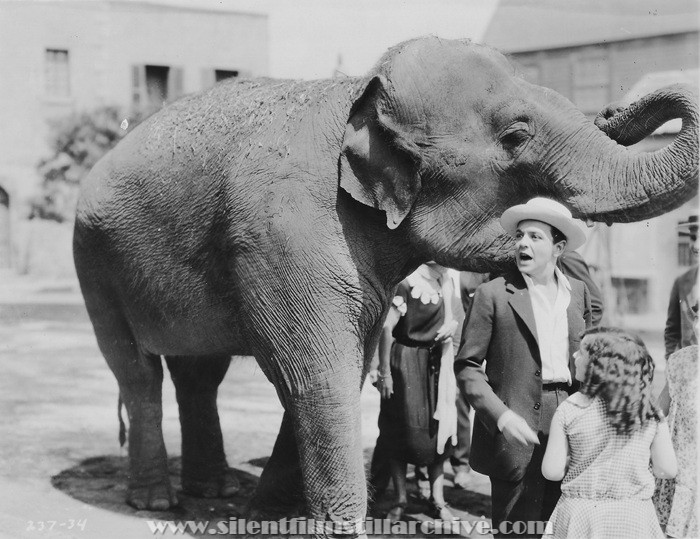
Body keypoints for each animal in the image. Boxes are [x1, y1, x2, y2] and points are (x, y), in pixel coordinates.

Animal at [73, 36, 698, 533]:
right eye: (515, 136)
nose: (614, 104)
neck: (358, 94)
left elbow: (335, 377)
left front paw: (265, 518)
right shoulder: (284, 234)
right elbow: (313, 376)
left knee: (199, 374)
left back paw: (214, 492)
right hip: (93, 261)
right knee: (136, 371)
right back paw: (156, 500)